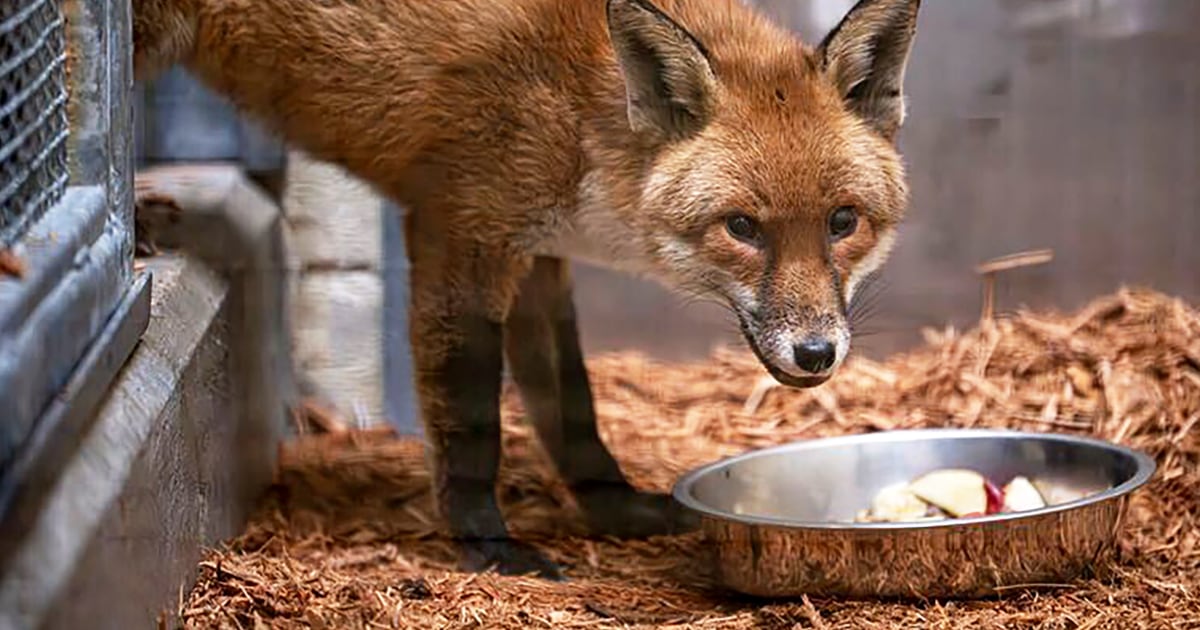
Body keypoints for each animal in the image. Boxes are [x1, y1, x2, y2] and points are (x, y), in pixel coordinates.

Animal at [131, 0, 921, 579]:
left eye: (842, 222)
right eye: (743, 228)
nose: (816, 353)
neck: (580, 110)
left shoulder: (538, 258)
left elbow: (572, 409)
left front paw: (617, 511)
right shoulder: (460, 235)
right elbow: (473, 423)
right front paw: (488, 545)